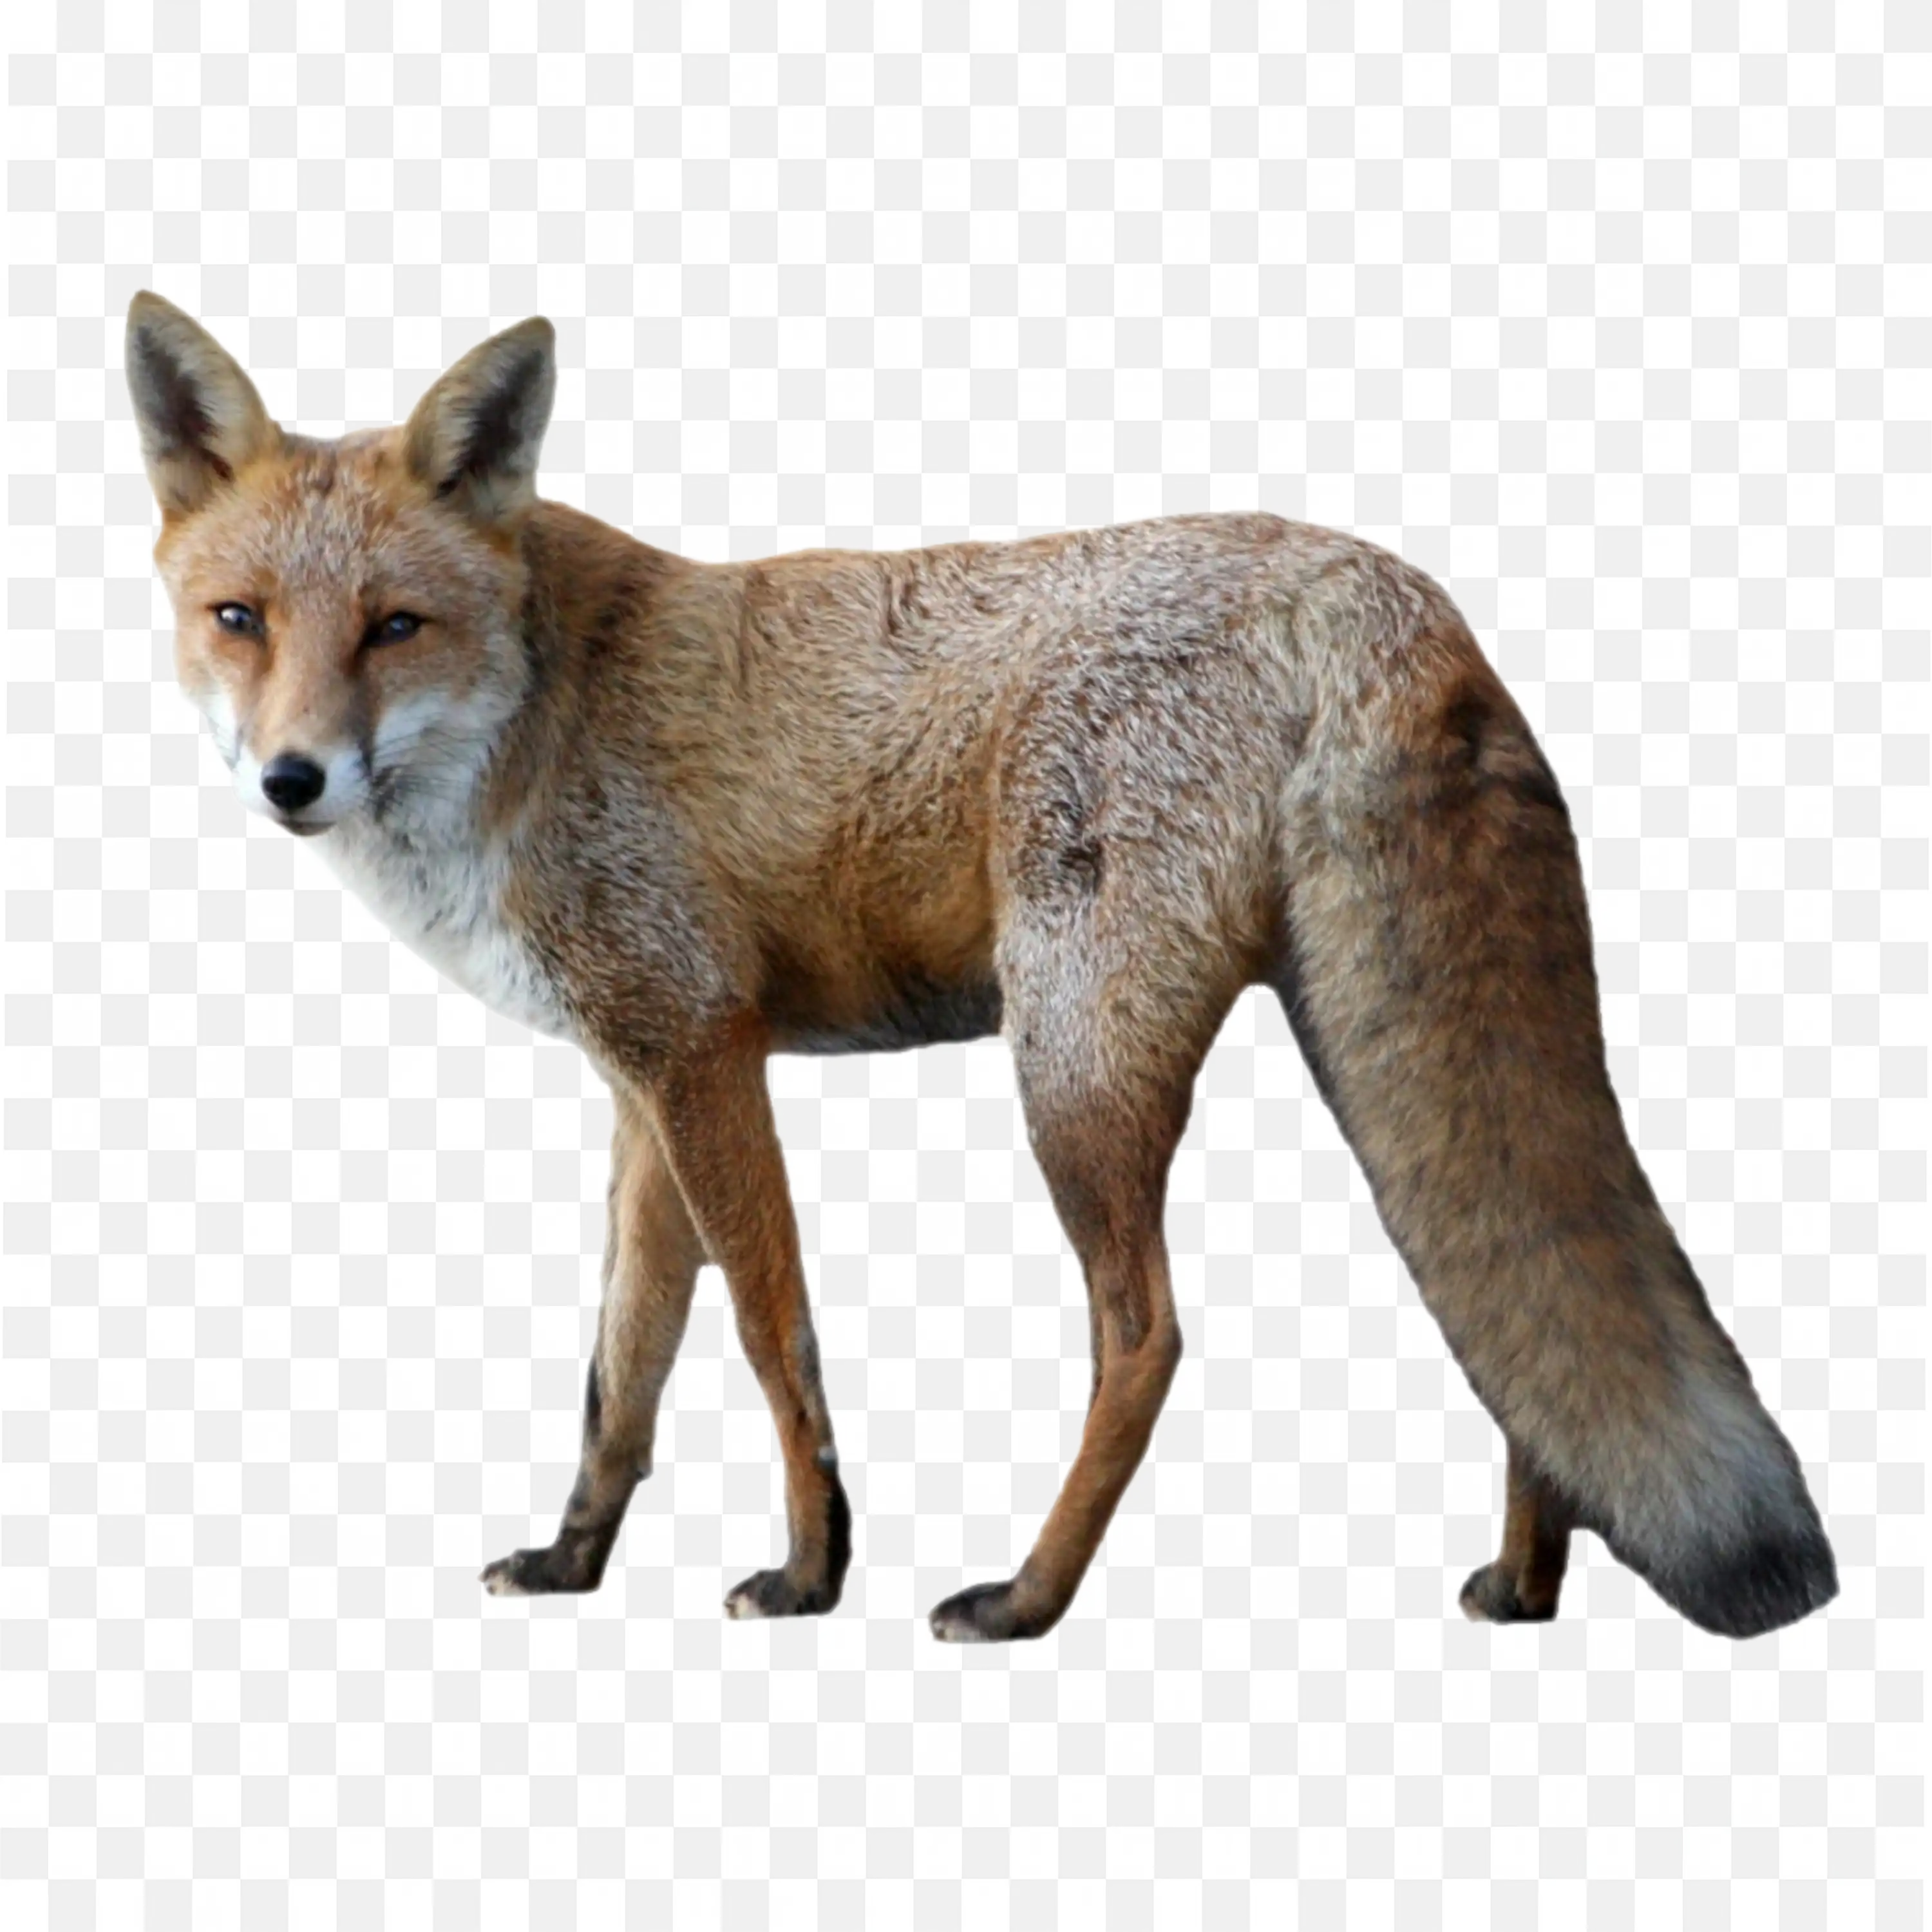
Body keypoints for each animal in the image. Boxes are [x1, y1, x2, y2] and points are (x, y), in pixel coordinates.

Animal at [123, 287, 1840, 1644]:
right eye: (240, 619)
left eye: (394, 626)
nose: (291, 780)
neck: (537, 721)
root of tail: (1379, 586)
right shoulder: (642, 1079)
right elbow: (624, 1367)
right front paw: (572, 1561)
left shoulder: (703, 1050)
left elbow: (771, 1338)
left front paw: (811, 1571)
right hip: (1361, 1049)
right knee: (1498, 1313)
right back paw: (1524, 1585)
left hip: (1072, 1062)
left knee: (1149, 1338)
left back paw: (1027, 1597)